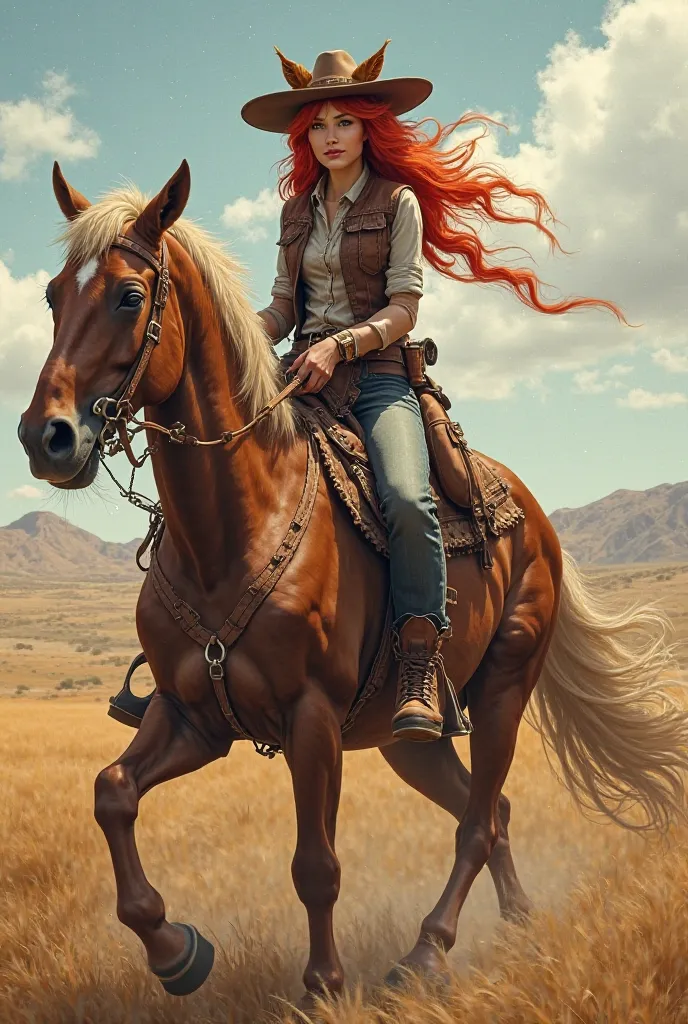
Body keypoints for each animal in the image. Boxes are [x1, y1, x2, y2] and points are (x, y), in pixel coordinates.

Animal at [20, 159, 688, 1007]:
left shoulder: (311, 718)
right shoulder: (190, 713)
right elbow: (111, 793)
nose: (46, 437)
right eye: (52, 295)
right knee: (495, 808)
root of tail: (535, 517)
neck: (234, 530)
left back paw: (427, 954)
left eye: (129, 297)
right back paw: (518, 927)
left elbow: (317, 863)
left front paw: (323, 988)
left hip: (505, 687)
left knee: (478, 820)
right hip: (412, 739)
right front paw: (176, 951)